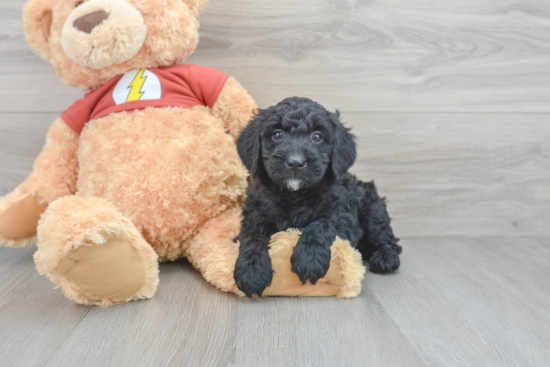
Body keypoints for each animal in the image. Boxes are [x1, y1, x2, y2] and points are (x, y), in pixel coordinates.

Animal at [235, 98, 404, 300]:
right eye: (277, 135)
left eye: (317, 137)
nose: (295, 162)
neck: (295, 195)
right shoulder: (255, 214)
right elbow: (252, 236)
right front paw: (251, 271)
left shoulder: (344, 218)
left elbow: (321, 225)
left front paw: (310, 259)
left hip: (373, 210)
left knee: (388, 240)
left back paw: (385, 258)